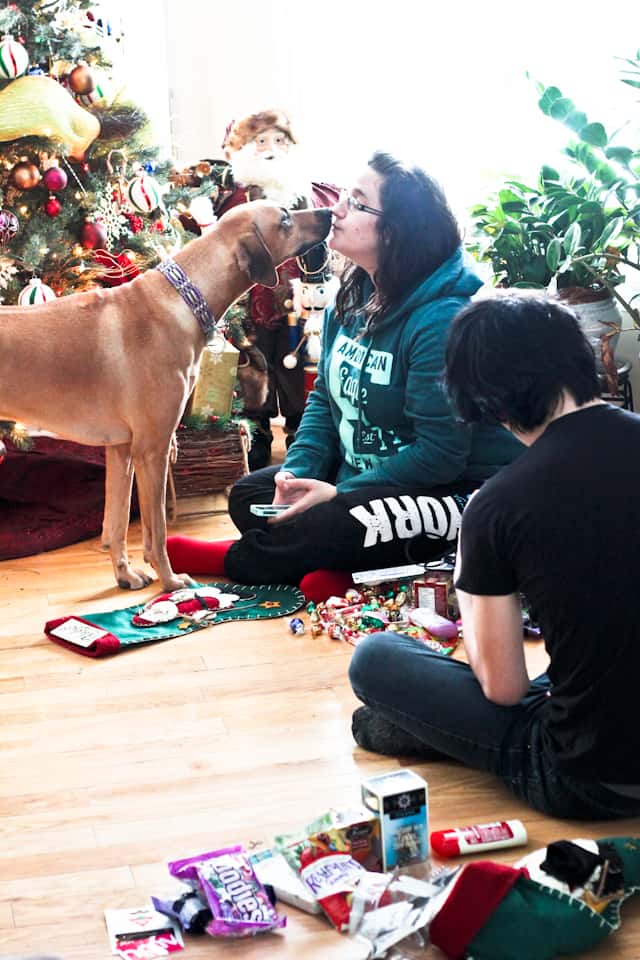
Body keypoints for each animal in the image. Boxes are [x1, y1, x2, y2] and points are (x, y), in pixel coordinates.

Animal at [0, 202, 330, 588]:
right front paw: (171, 581)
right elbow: (156, 530)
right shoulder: (152, 450)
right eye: (285, 220)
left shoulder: (121, 449)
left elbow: (115, 523)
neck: (186, 299)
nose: (329, 213)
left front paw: (125, 574)